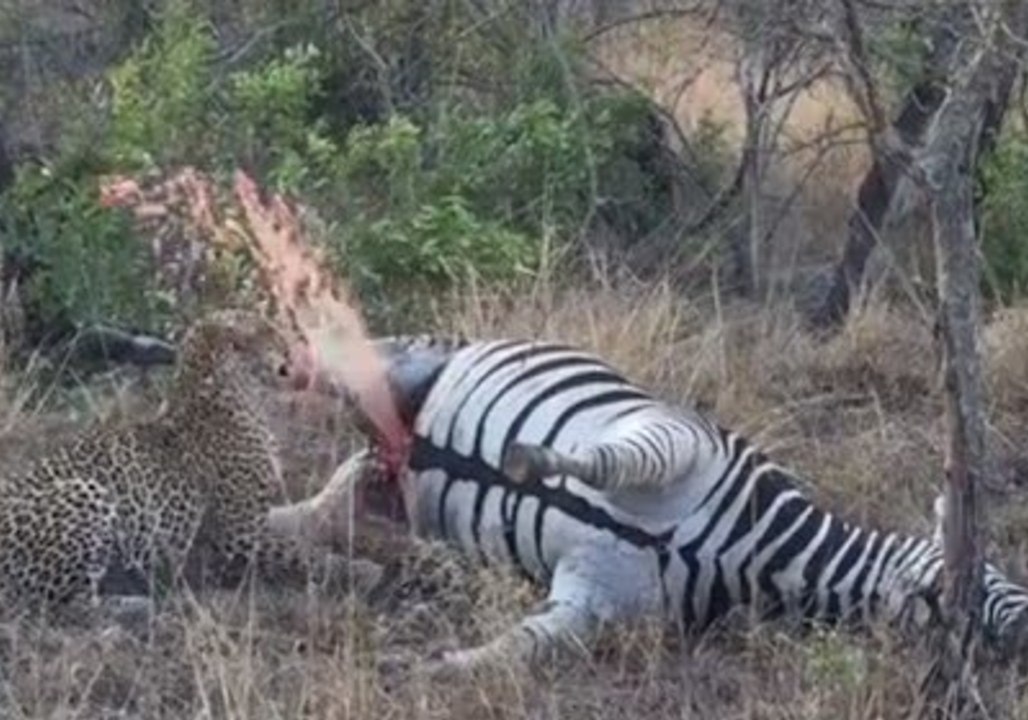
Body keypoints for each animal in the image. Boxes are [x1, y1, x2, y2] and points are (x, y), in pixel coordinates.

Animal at [0, 308, 344, 621]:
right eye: (269, 332)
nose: (290, 348)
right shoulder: (238, 535)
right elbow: (300, 552)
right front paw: (348, 569)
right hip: (86, 490)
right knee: (68, 605)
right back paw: (143, 605)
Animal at [318, 334, 1028, 676]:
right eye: (994, 575)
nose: (1019, 640)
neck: (755, 556)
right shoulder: (677, 438)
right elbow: (610, 460)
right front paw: (530, 461)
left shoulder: (596, 598)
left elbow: (526, 643)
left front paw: (434, 666)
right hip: (412, 356)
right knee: (342, 358)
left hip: (380, 472)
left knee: (348, 486)